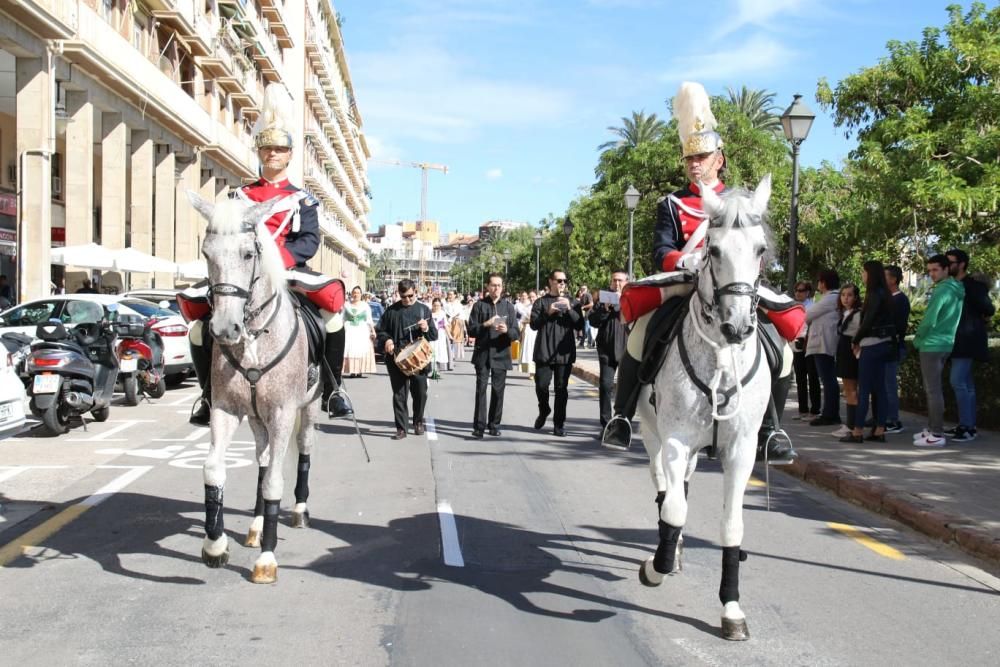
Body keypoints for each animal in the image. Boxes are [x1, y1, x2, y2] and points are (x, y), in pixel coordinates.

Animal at [187, 193, 320, 584]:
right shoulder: (225, 410)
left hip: (308, 409)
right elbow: (214, 469)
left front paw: (267, 558)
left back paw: (300, 509)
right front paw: (214, 545)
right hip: (258, 419)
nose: (223, 328)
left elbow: (275, 481)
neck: (255, 339)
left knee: (304, 450)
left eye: (248, 254)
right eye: (206, 253)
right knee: (261, 460)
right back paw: (256, 527)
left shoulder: (283, 413)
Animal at [632, 176, 772, 640]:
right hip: (652, 433)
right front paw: (655, 568)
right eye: (713, 249)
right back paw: (668, 552)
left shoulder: (741, 450)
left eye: (760, 249)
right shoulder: (675, 439)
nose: (737, 326)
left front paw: (731, 608)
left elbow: (732, 526)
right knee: (664, 487)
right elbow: (674, 507)